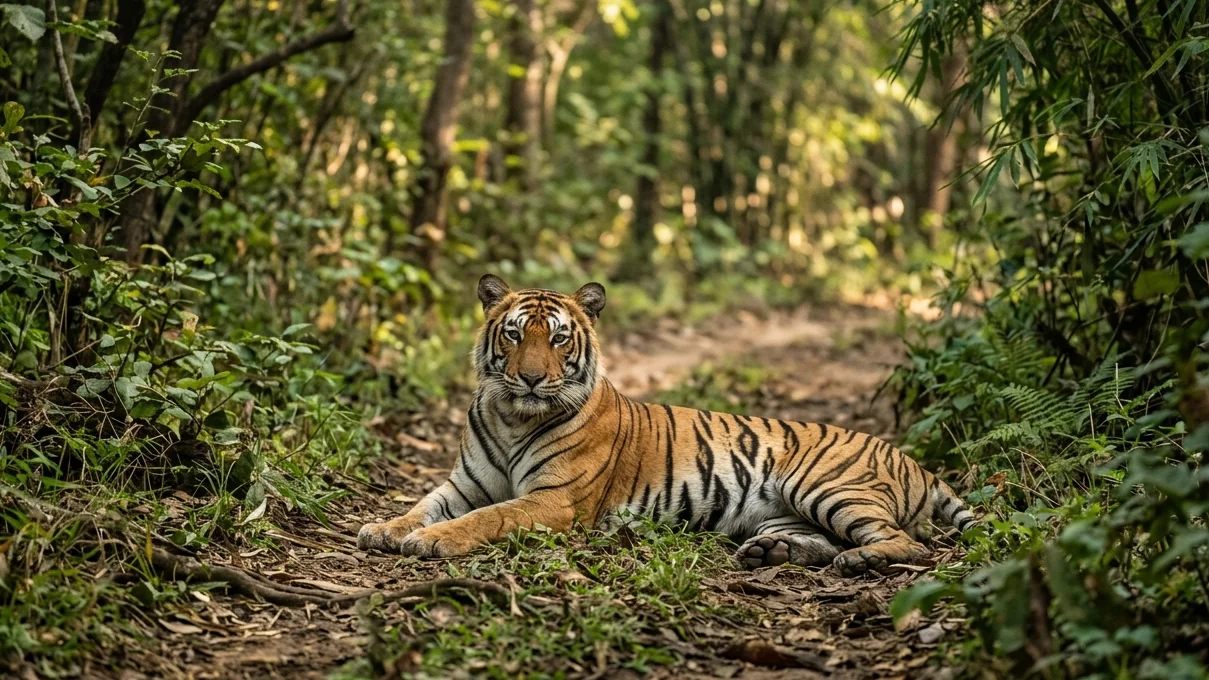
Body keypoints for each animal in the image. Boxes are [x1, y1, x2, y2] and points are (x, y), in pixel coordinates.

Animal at [357, 275, 975, 575]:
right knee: (821, 541)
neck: (513, 415)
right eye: (513, 335)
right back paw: (774, 555)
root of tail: (912, 460)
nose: (531, 379)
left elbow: (490, 517)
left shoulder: (555, 500)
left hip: (825, 485)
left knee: (911, 546)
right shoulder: (463, 484)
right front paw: (385, 528)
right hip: (785, 511)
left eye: (558, 338)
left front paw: (432, 540)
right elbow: (424, 503)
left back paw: (859, 561)